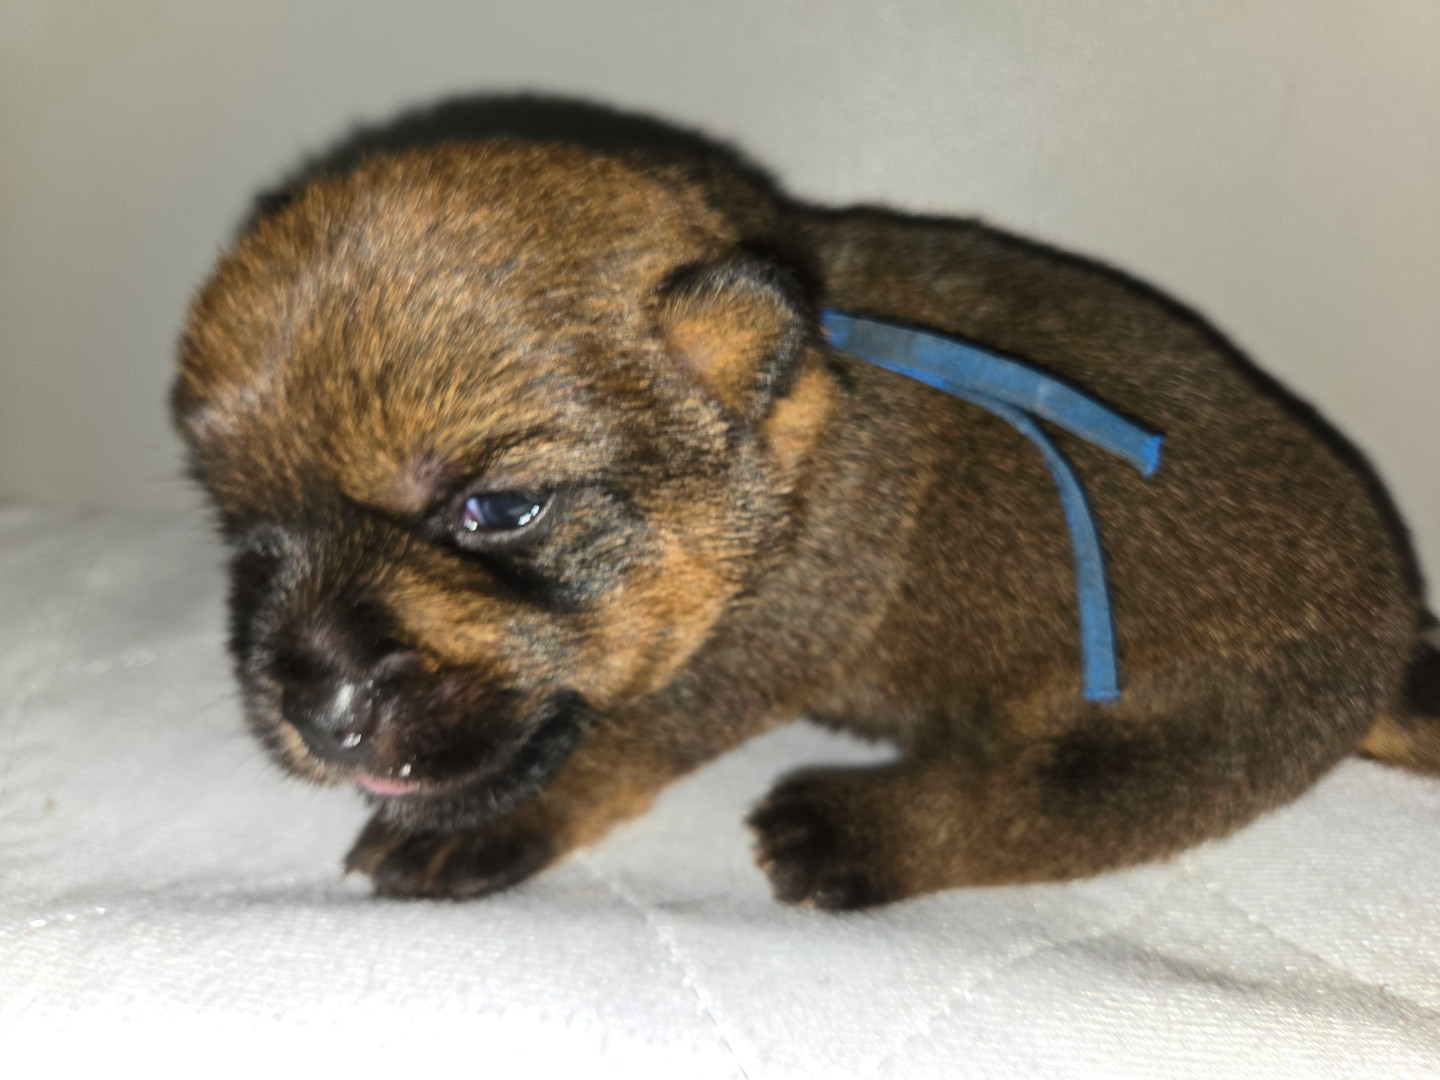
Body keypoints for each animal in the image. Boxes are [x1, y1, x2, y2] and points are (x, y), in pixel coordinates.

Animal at [173, 138, 1439, 908]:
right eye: (242, 530)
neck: (797, 404)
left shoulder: (763, 635)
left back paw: (845, 831)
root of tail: (1394, 640)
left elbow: (623, 737)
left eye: (496, 509)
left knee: (1032, 809)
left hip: (1186, 725)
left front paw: (477, 826)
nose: (318, 711)